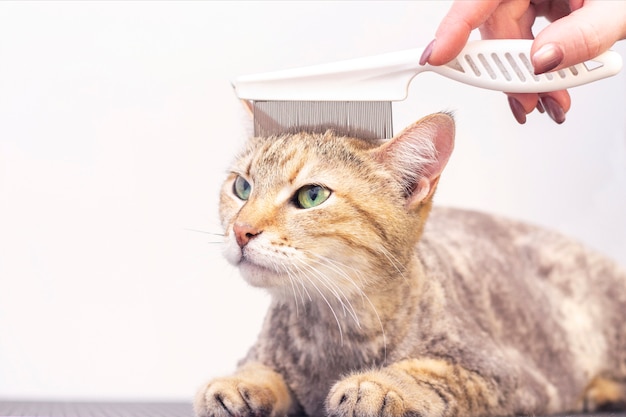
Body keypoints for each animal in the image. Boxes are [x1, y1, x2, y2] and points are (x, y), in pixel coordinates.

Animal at [195, 111, 624, 416]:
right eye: (242, 187)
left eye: (312, 196)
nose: (241, 230)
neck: (336, 327)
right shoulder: (265, 351)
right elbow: (261, 369)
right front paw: (239, 384)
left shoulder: (509, 376)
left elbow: (437, 376)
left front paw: (378, 385)